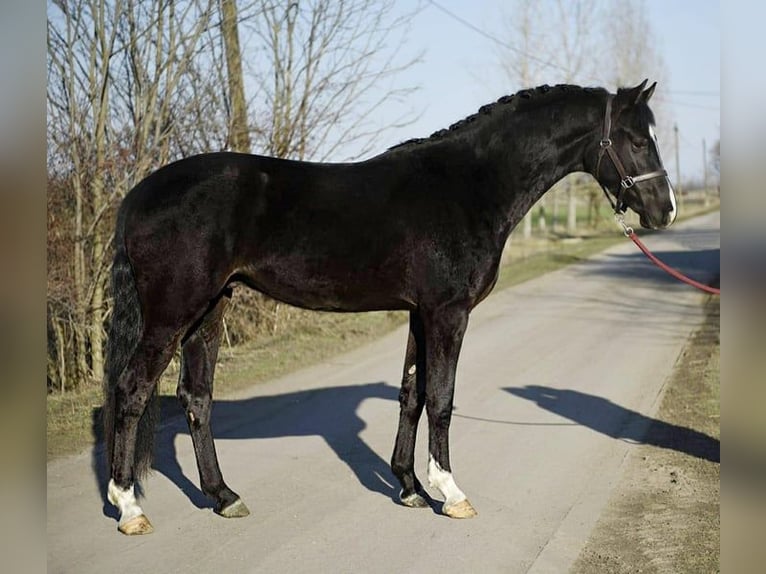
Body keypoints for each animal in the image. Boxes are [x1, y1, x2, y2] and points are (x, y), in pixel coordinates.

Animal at [103, 81, 676, 534]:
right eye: (637, 140)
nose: (665, 210)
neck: (470, 185)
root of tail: (138, 195)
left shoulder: (420, 313)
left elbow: (411, 394)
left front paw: (409, 486)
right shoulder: (448, 312)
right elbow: (441, 398)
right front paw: (451, 493)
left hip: (210, 309)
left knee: (196, 398)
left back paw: (224, 497)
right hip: (173, 312)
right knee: (132, 389)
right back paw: (129, 507)